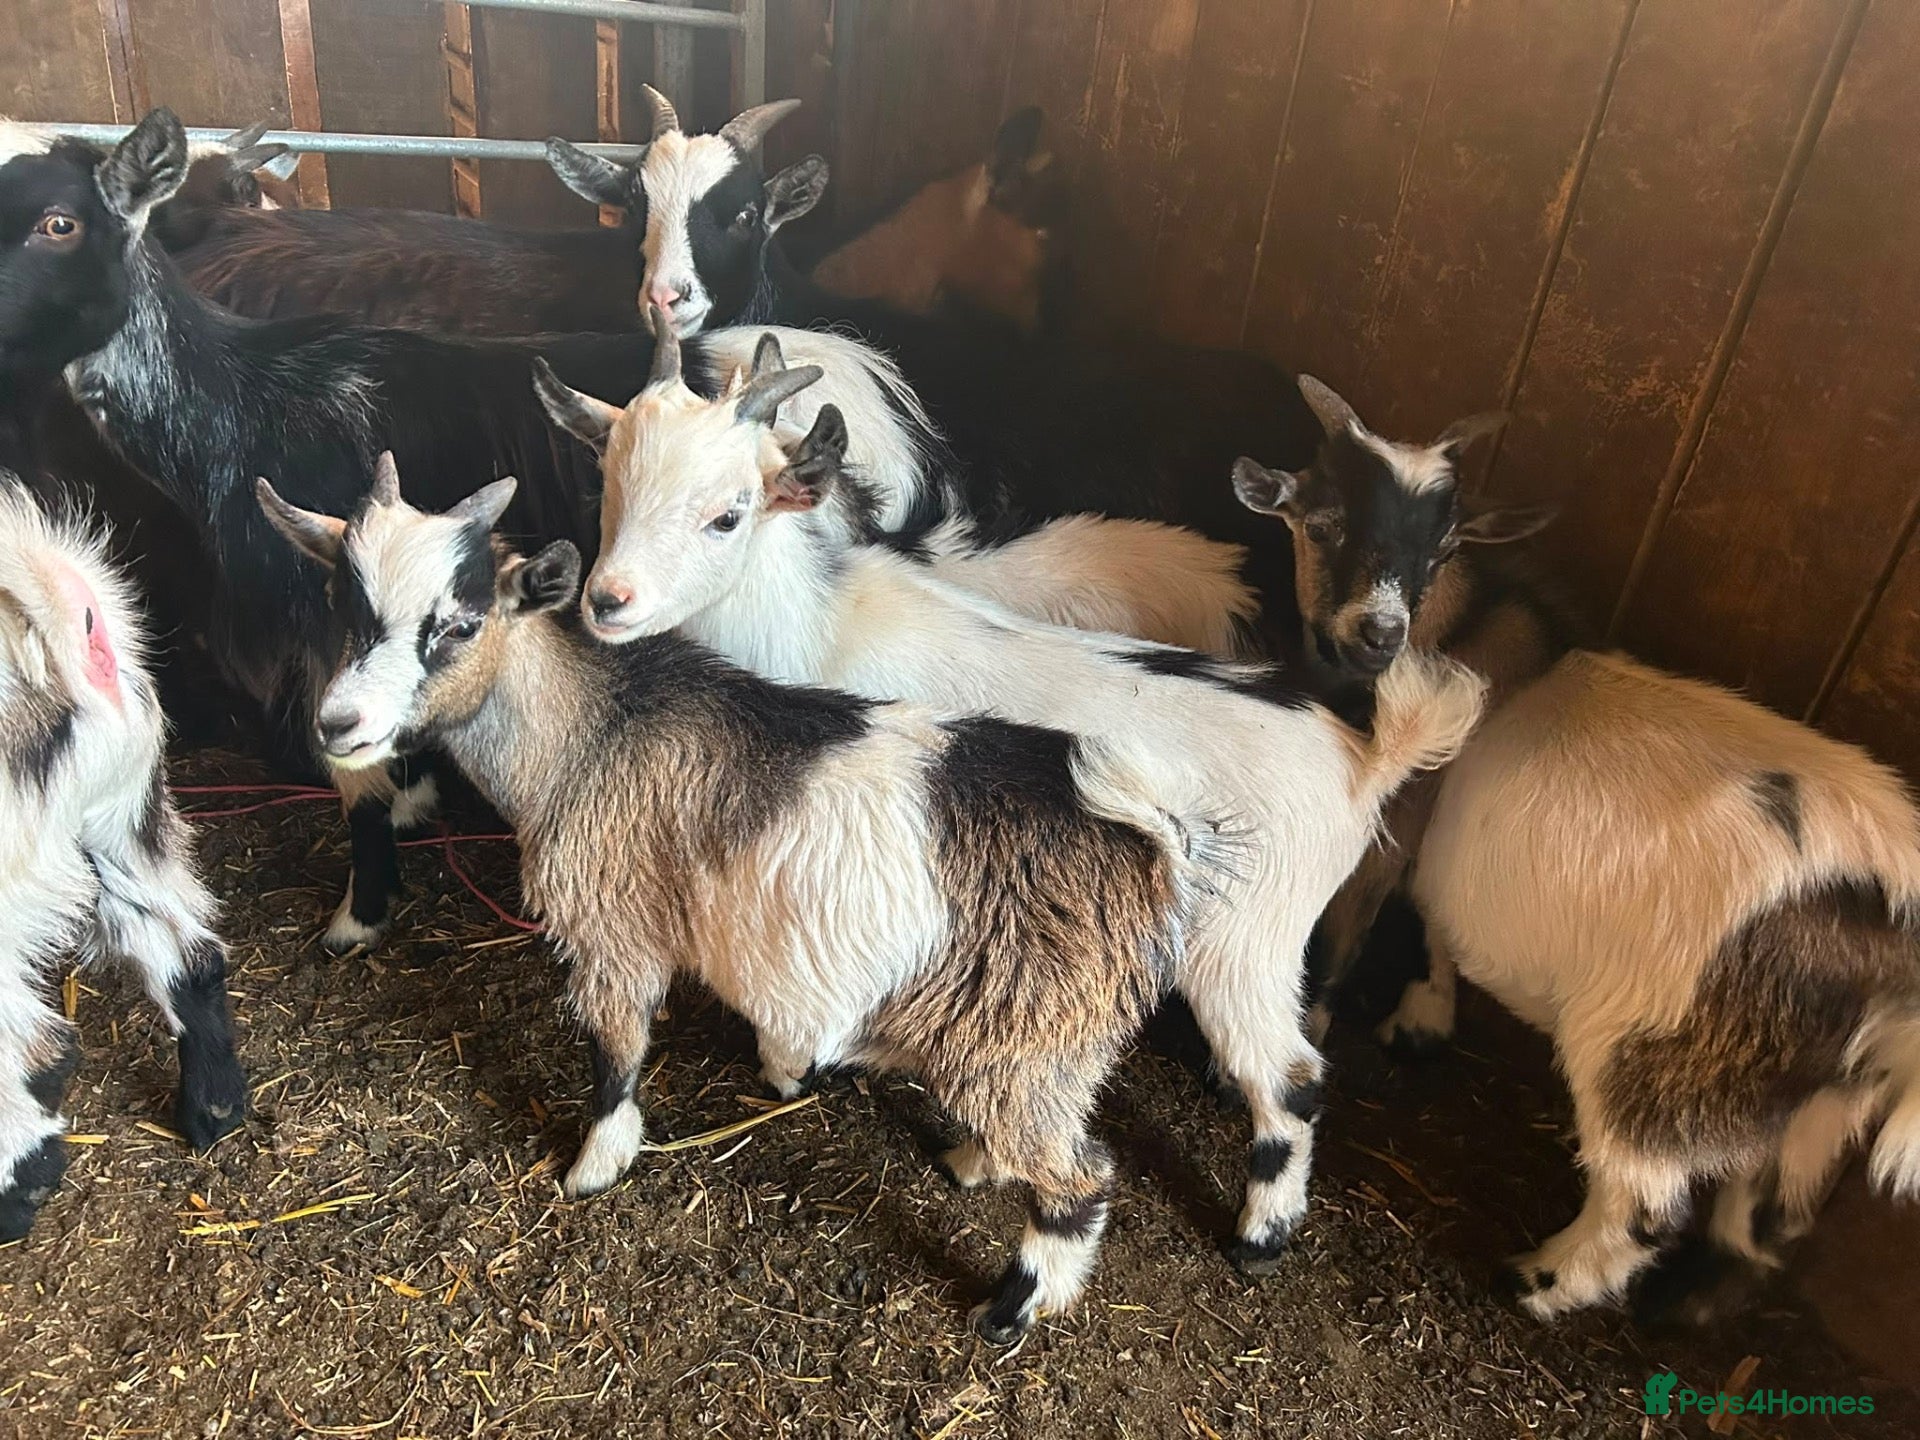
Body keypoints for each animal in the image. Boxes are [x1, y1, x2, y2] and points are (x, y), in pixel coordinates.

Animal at [257, 465, 1255, 1344]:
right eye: (344, 608)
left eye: (458, 625)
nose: (338, 725)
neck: (586, 733)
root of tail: (1151, 844)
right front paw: (778, 1073)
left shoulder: (613, 924)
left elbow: (614, 1053)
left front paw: (594, 1166)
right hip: (1042, 1047)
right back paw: (970, 1159)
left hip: (1039, 1032)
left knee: (1081, 1183)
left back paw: (1008, 1311)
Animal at [539, 320, 1489, 1275]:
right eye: (610, 483)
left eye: (727, 514)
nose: (609, 602)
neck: (814, 617)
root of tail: (1361, 757)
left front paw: (788, 1061)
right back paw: (978, 1156)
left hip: (1245, 945)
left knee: (1291, 1079)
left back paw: (1260, 1234)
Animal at [1226, 378, 1568, 1043]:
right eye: (1320, 527)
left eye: (1446, 549)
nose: (1381, 633)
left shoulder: (1402, 809)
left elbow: (1354, 905)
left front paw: (1314, 1019)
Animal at [1410, 649, 1920, 1319]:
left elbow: (1418, 927)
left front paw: (1415, 1028)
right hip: (1824, 1108)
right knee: (1767, 1220)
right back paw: (1690, 1304)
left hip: (1652, 1050)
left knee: (1646, 1207)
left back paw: (1532, 1283)